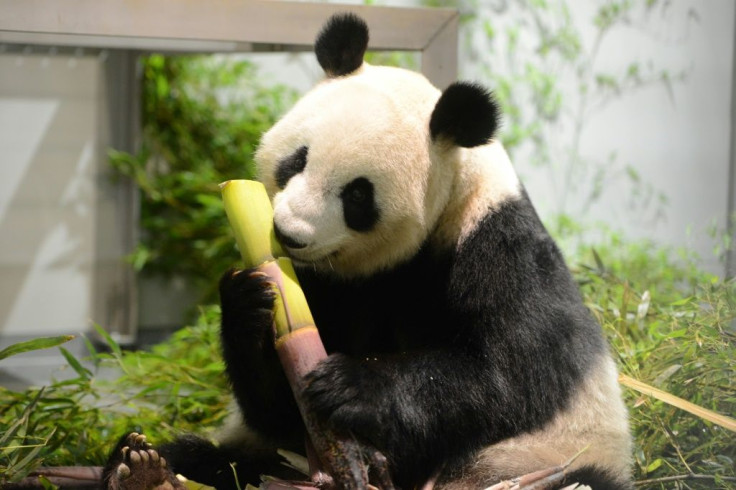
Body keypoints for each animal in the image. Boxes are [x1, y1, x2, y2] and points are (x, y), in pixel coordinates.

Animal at [102, 11, 632, 490]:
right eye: (298, 159)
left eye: (358, 195)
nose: (288, 233)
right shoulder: (318, 283)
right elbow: (278, 410)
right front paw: (247, 302)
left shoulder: (498, 246)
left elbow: (508, 375)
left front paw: (351, 385)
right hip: (273, 461)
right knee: (214, 463)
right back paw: (142, 469)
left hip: (541, 458)